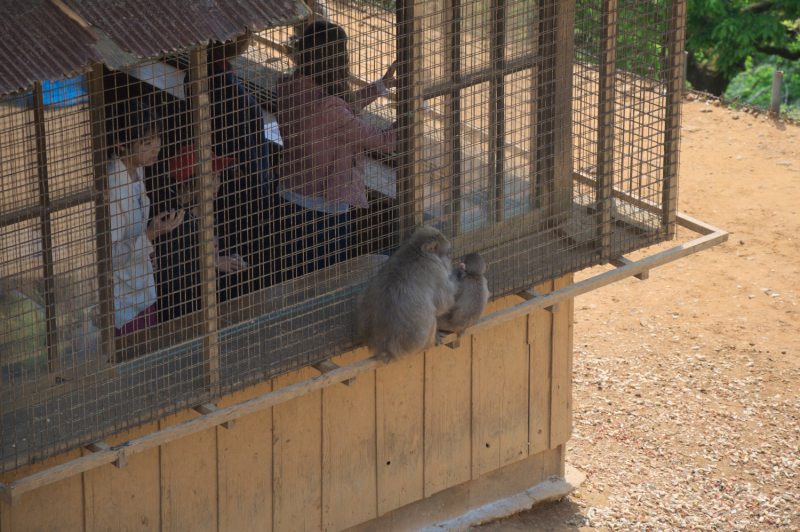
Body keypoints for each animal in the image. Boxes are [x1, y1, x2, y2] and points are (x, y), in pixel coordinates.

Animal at [358, 227, 456, 364]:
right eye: (447, 253)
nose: (450, 257)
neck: (418, 252)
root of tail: (385, 349)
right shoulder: (436, 270)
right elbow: (445, 303)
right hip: (417, 344)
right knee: (431, 316)